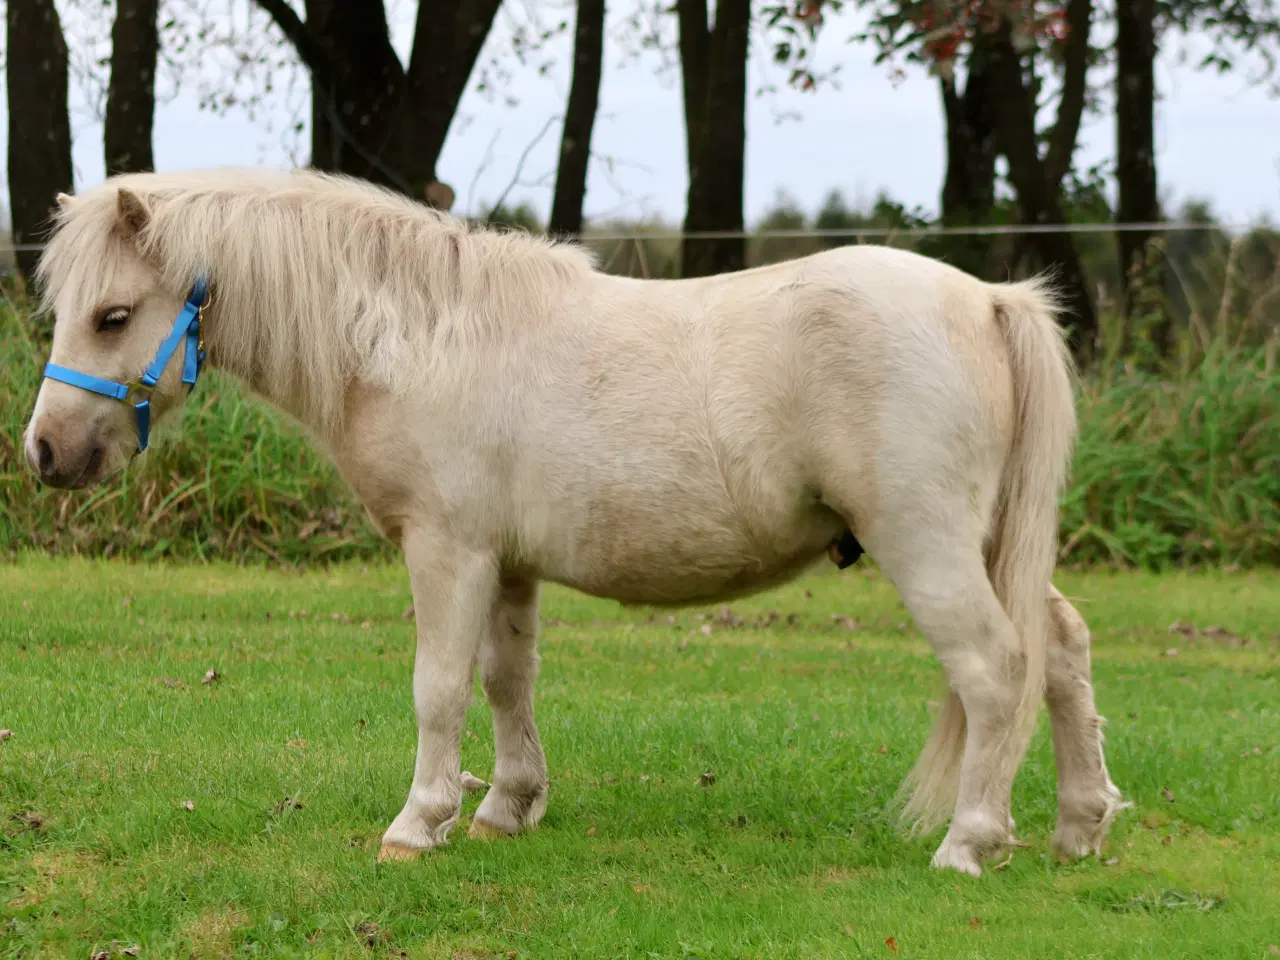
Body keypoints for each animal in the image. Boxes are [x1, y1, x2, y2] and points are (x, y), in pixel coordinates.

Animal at [20, 167, 1121, 880]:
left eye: (113, 316)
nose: (46, 453)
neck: (420, 338)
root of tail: (988, 301)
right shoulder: (507, 563)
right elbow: (508, 681)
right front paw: (506, 808)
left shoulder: (447, 549)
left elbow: (437, 689)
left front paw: (417, 825)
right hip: (991, 544)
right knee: (1062, 651)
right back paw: (1079, 828)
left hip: (925, 544)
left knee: (994, 669)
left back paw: (969, 844)